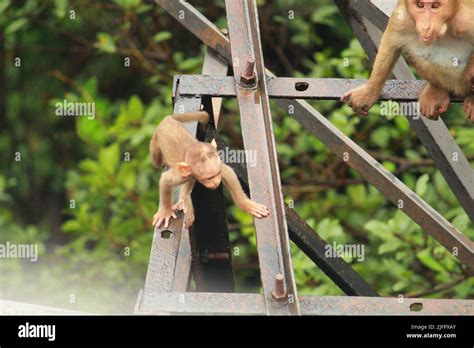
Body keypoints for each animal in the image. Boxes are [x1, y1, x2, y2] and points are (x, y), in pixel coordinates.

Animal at [342, 0, 472, 123]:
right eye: (419, 5)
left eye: (436, 5)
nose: (426, 26)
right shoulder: (403, 16)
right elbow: (391, 40)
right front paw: (369, 93)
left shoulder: (466, 18)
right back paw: (437, 89)